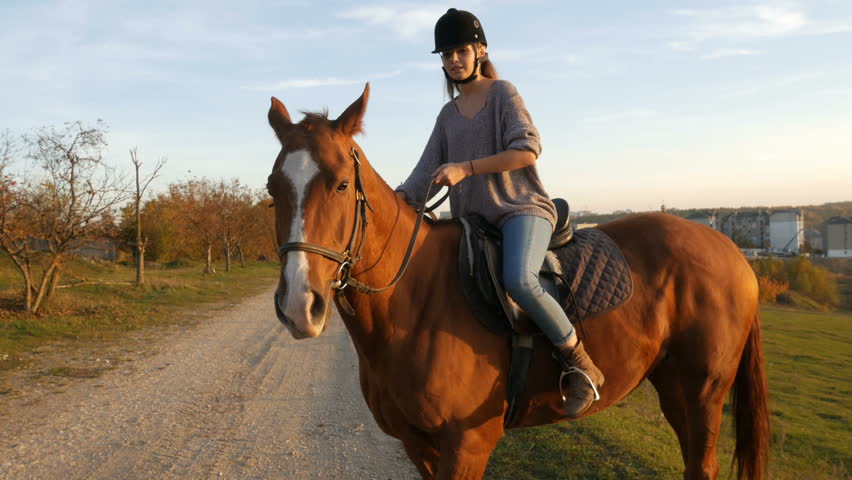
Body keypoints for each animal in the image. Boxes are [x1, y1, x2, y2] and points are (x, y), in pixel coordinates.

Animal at [265, 84, 769, 480]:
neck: (415, 299)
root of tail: (730, 250)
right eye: (272, 188)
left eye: (341, 184)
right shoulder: (417, 445)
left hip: (701, 394)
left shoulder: (466, 445)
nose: (298, 306)